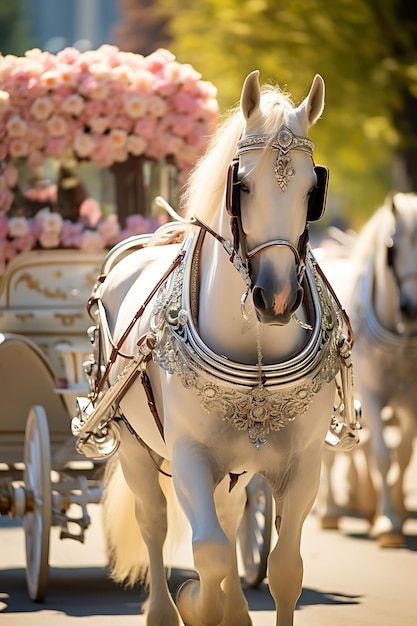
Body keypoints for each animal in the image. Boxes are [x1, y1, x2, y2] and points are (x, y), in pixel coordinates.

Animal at [74, 72, 354, 624]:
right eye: (240, 185)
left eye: (313, 190)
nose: (277, 298)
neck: (257, 352)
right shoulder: (188, 456)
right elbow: (209, 552)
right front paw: (195, 603)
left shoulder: (304, 464)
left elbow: (284, 568)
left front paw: (234, 605)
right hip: (137, 449)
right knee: (155, 523)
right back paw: (166, 609)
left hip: (239, 464)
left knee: (229, 516)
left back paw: (237, 611)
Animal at [316, 191, 416, 544]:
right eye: (390, 248)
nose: (412, 308)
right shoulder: (371, 396)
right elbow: (384, 454)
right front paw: (387, 522)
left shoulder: (410, 402)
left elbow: (403, 454)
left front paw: (394, 511)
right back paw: (331, 511)